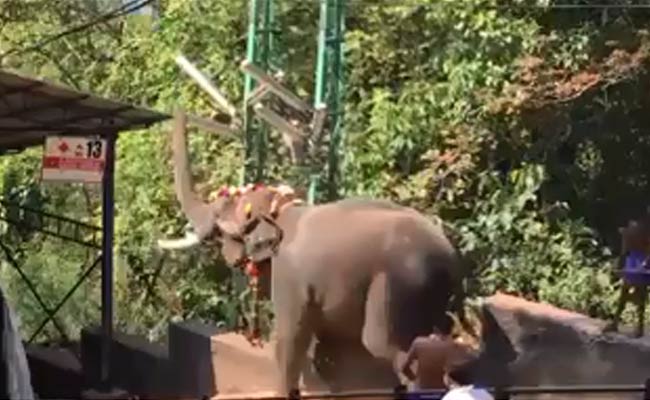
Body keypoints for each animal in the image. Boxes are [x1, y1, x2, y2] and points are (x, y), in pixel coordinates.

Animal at [158, 110, 470, 396]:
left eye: (221, 212)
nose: (180, 111)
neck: (280, 210)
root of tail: (452, 258)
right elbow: (330, 352)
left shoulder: (289, 277)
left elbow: (290, 337)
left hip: (399, 285)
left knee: (384, 344)